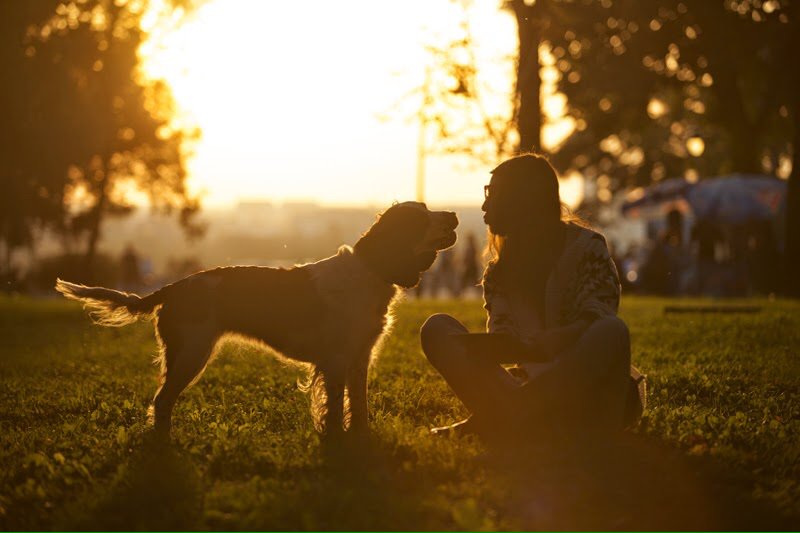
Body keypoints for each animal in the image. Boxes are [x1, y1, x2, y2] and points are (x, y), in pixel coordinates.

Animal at [56, 202, 460, 438]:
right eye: (421, 216)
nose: (454, 215)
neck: (369, 271)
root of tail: (171, 289)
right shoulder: (335, 361)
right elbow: (333, 408)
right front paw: (335, 443)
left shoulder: (359, 357)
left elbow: (357, 405)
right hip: (190, 354)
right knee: (161, 400)